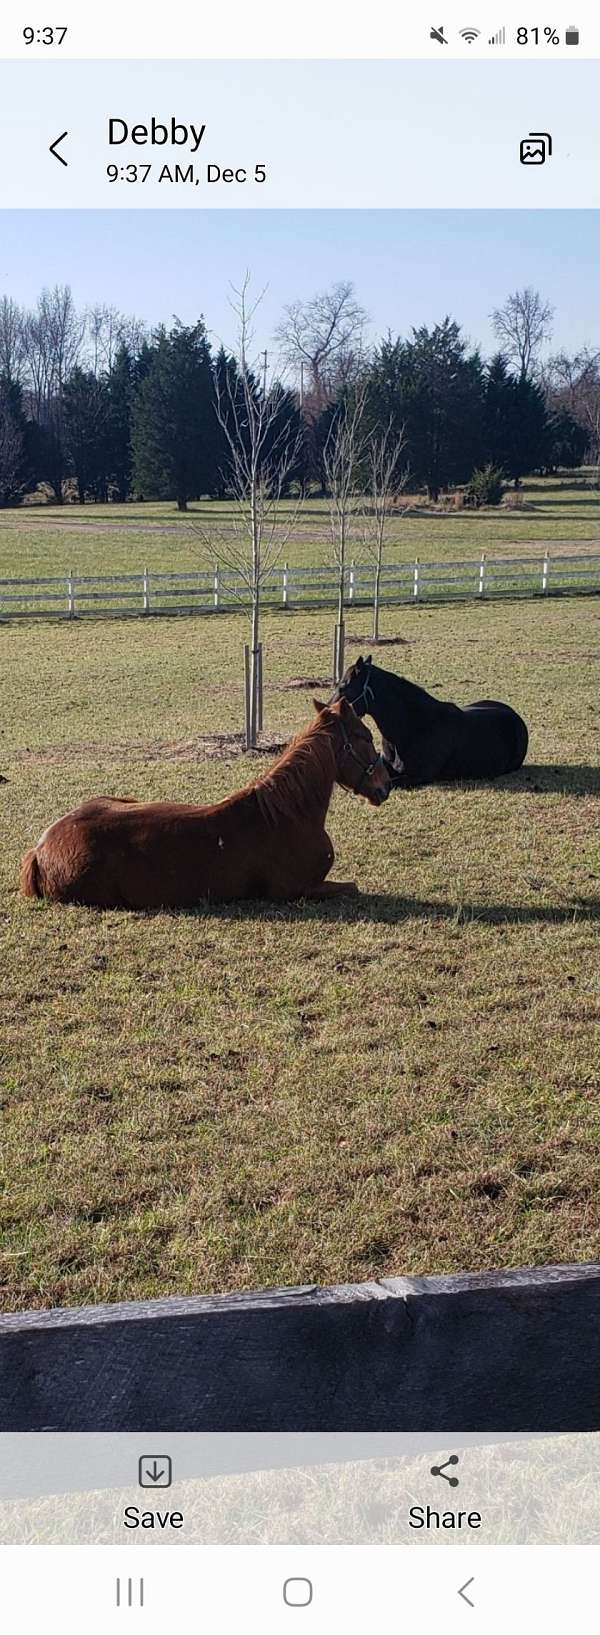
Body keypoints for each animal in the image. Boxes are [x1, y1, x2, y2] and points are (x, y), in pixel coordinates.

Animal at [18, 699, 392, 915]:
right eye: (365, 736)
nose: (385, 785)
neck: (287, 815)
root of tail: (41, 849)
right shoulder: (297, 891)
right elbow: (353, 888)